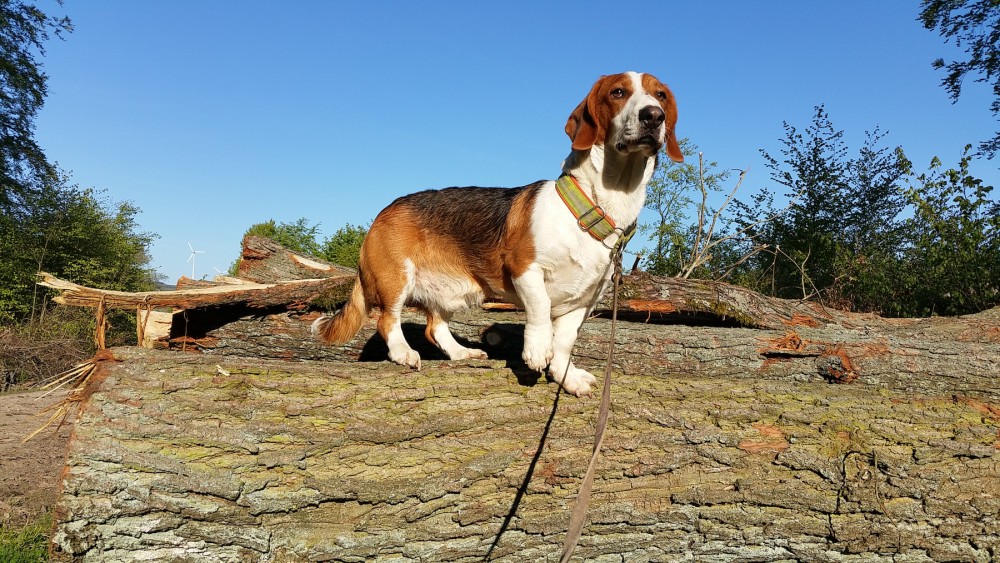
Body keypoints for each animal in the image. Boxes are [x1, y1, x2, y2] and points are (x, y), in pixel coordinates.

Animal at [316, 70, 684, 396]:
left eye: (661, 95)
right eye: (618, 92)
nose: (653, 115)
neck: (593, 207)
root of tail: (384, 211)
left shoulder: (582, 301)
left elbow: (564, 343)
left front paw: (566, 376)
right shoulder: (525, 269)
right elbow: (540, 310)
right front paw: (537, 350)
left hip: (452, 291)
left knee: (435, 327)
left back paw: (462, 353)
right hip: (396, 278)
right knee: (387, 321)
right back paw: (405, 353)